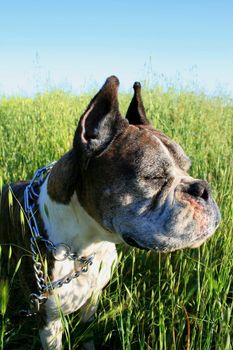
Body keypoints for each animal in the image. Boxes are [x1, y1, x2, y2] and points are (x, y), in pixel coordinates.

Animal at [0, 75, 220, 348]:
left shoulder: (92, 301)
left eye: (187, 167)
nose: (203, 189)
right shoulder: (49, 321)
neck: (87, 248)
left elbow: (88, 335)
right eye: (153, 177)